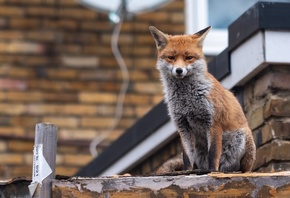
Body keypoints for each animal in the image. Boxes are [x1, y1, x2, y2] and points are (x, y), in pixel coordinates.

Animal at [150, 25, 256, 172]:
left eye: (189, 57)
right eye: (171, 57)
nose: (179, 70)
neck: (187, 99)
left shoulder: (213, 122)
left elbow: (213, 153)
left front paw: (212, 172)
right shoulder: (183, 126)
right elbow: (187, 157)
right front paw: (187, 172)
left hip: (242, 137)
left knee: (240, 168)